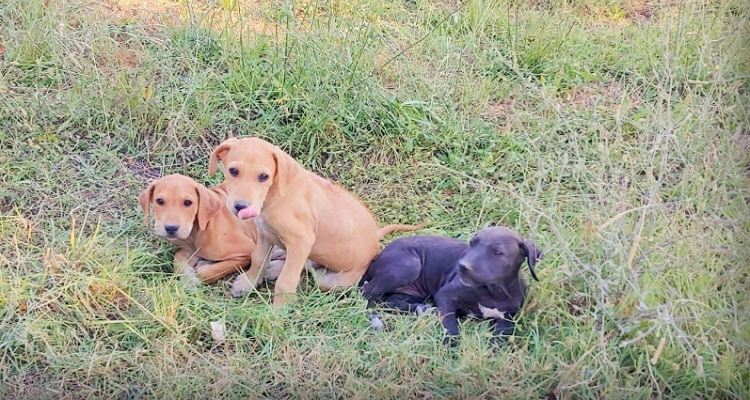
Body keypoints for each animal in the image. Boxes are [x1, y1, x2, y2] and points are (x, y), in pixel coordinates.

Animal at [138, 173, 284, 286]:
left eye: (188, 202)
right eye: (159, 201)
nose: (171, 228)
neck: (198, 231)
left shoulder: (248, 250)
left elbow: (207, 272)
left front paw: (201, 269)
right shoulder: (189, 249)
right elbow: (177, 259)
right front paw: (189, 279)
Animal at [209, 138, 426, 306]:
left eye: (263, 176)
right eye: (233, 171)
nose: (241, 206)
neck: (274, 196)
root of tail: (376, 238)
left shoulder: (301, 240)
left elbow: (286, 280)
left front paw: (278, 313)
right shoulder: (264, 234)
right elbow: (258, 259)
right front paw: (249, 282)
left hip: (331, 280)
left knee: (309, 268)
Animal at [358, 228, 540, 346]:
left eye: (497, 252)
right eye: (472, 243)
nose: (462, 266)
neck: (492, 292)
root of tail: (377, 258)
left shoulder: (509, 316)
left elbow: (500, 337)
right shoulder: (445, 295)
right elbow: (450, 323)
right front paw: (451, 347)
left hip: (409, 291)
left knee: (389, 302)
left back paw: (421, 309)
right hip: (409, 265)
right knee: (367, 295)